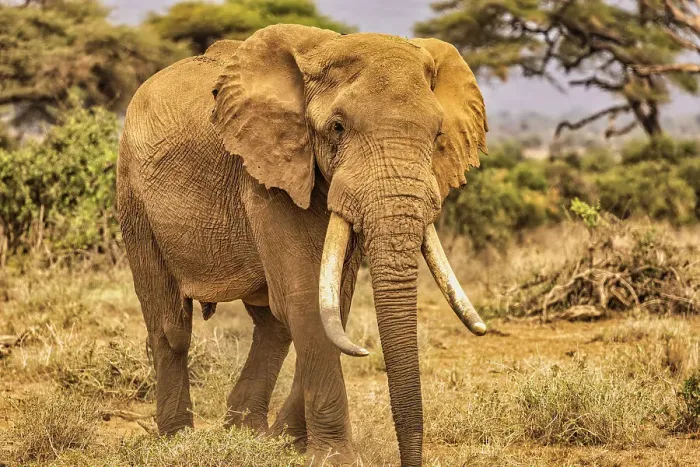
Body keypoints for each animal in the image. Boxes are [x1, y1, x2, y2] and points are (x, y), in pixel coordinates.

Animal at [117, 24, 488, 466]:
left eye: (437, 134)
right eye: (338, 127)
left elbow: (332, 304)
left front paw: (287, 444)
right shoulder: (266, 170)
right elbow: (308, 300)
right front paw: (334, 458)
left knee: (272, 326)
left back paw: (249, 435)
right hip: (134, 196)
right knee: (171, 325)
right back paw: (178, 441)